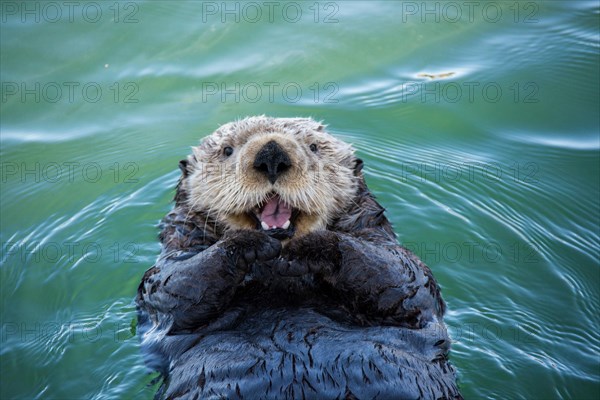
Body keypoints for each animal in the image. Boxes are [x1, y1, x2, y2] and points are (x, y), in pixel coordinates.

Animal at [136, 116, 462, 400]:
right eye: (227, 150)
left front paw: (310, 247)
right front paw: (249, 242)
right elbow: (173, 288)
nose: (271, 154)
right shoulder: (177, 256)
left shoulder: (391, 256)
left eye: (314, 147)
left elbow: (404, 279)